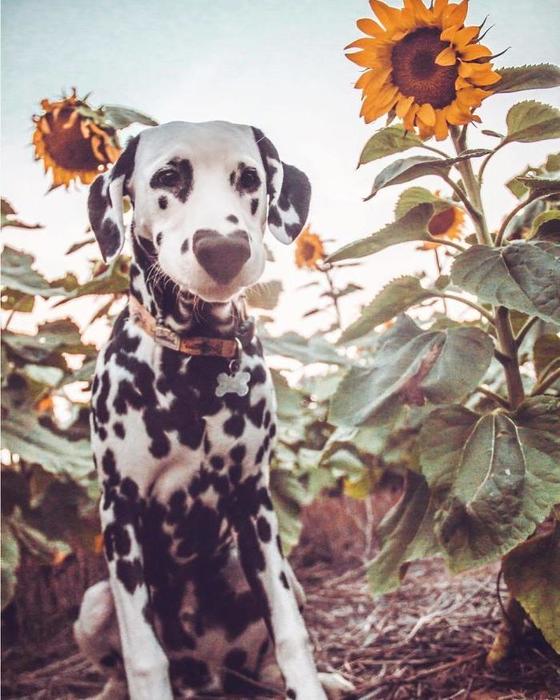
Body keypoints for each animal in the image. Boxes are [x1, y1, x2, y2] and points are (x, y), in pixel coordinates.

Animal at [73, 121, 354, 700]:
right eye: (166, 177)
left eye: (248, 178)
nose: (223, 248)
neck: (194, 367)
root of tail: (208, 673)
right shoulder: (121, 511)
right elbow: (142, 658)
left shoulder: (255, 505)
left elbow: (290, 632)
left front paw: (310, 682)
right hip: (93, 603)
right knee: (117, 668)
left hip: (276, 573)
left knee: (267, 655)